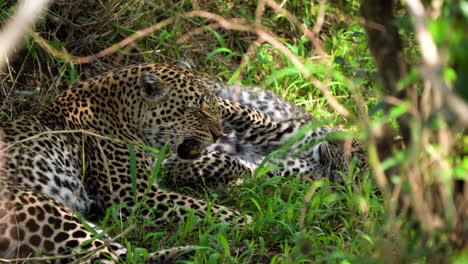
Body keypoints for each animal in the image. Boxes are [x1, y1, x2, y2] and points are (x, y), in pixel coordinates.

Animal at [0, 63, 252, 262]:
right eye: (195, 109)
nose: (219, 134)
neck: (125, 112)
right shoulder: (136, 196)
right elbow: (202, 207)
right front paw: (248, 219)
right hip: (48, 213)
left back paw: (182, 254)